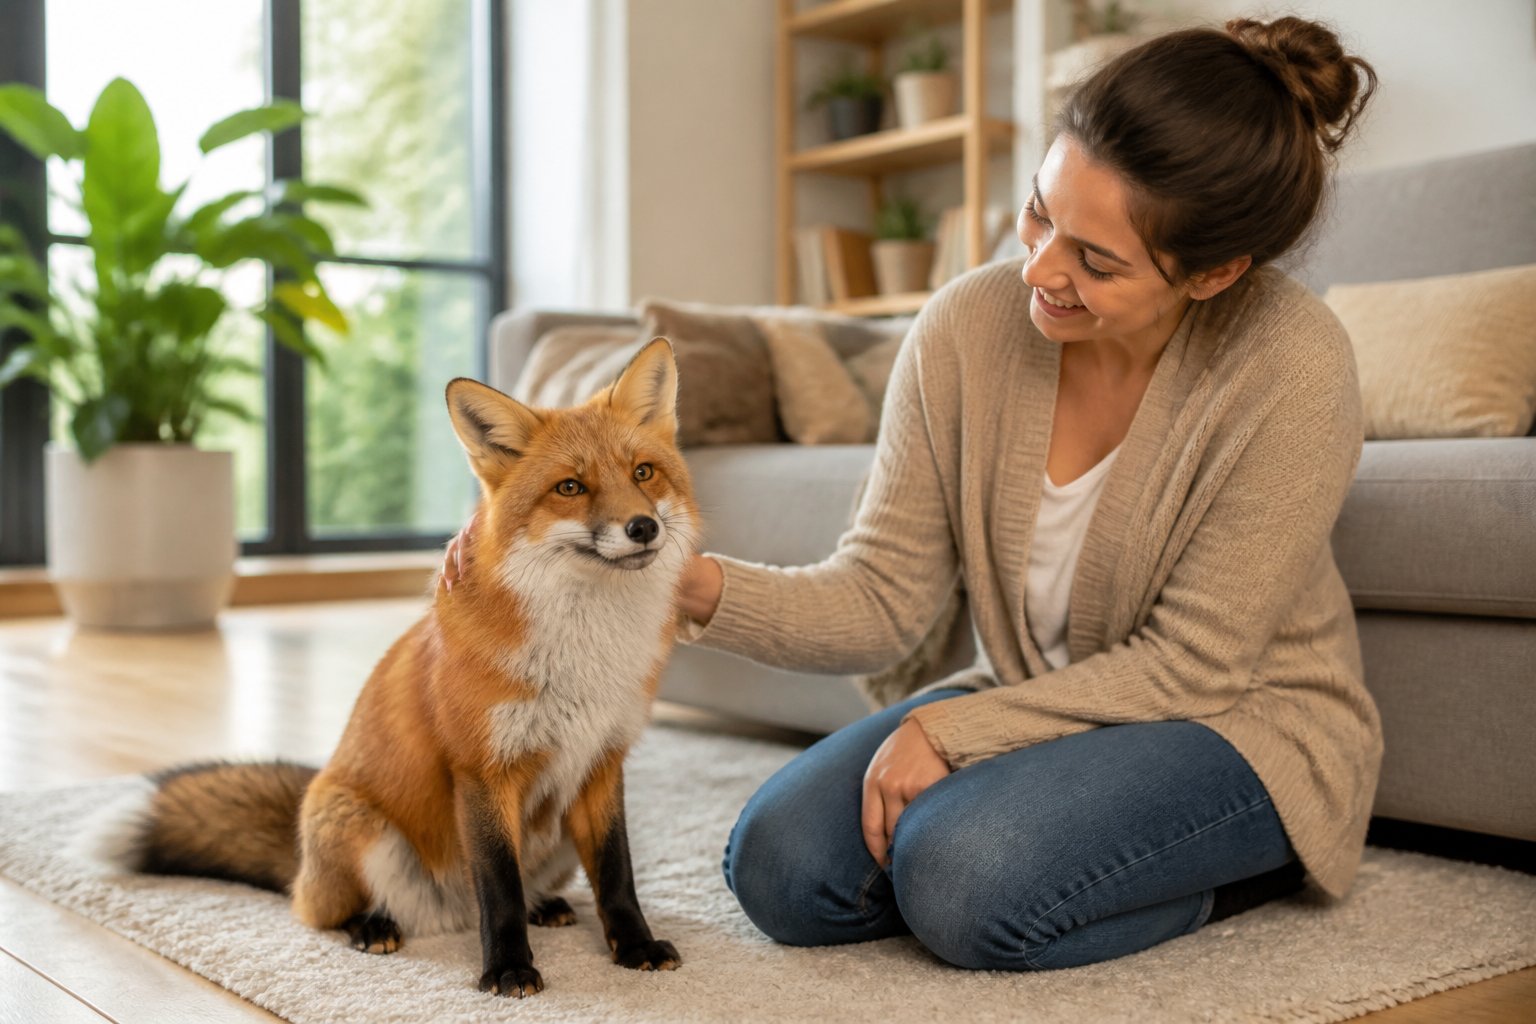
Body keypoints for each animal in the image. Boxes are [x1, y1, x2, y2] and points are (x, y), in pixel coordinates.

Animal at [94, 338, 700, 998]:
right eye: (570, 486)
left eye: (643, 473)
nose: (643, 527)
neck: (583, 653)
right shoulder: (481, 771)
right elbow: (500, 887)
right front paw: (508, 968)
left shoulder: (601, 763)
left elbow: (617, 875)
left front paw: (635, 947)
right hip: (360, 829)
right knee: (316, 911)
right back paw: (373, 925)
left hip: (554, 834)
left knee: (526, 886)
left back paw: (548, 907)